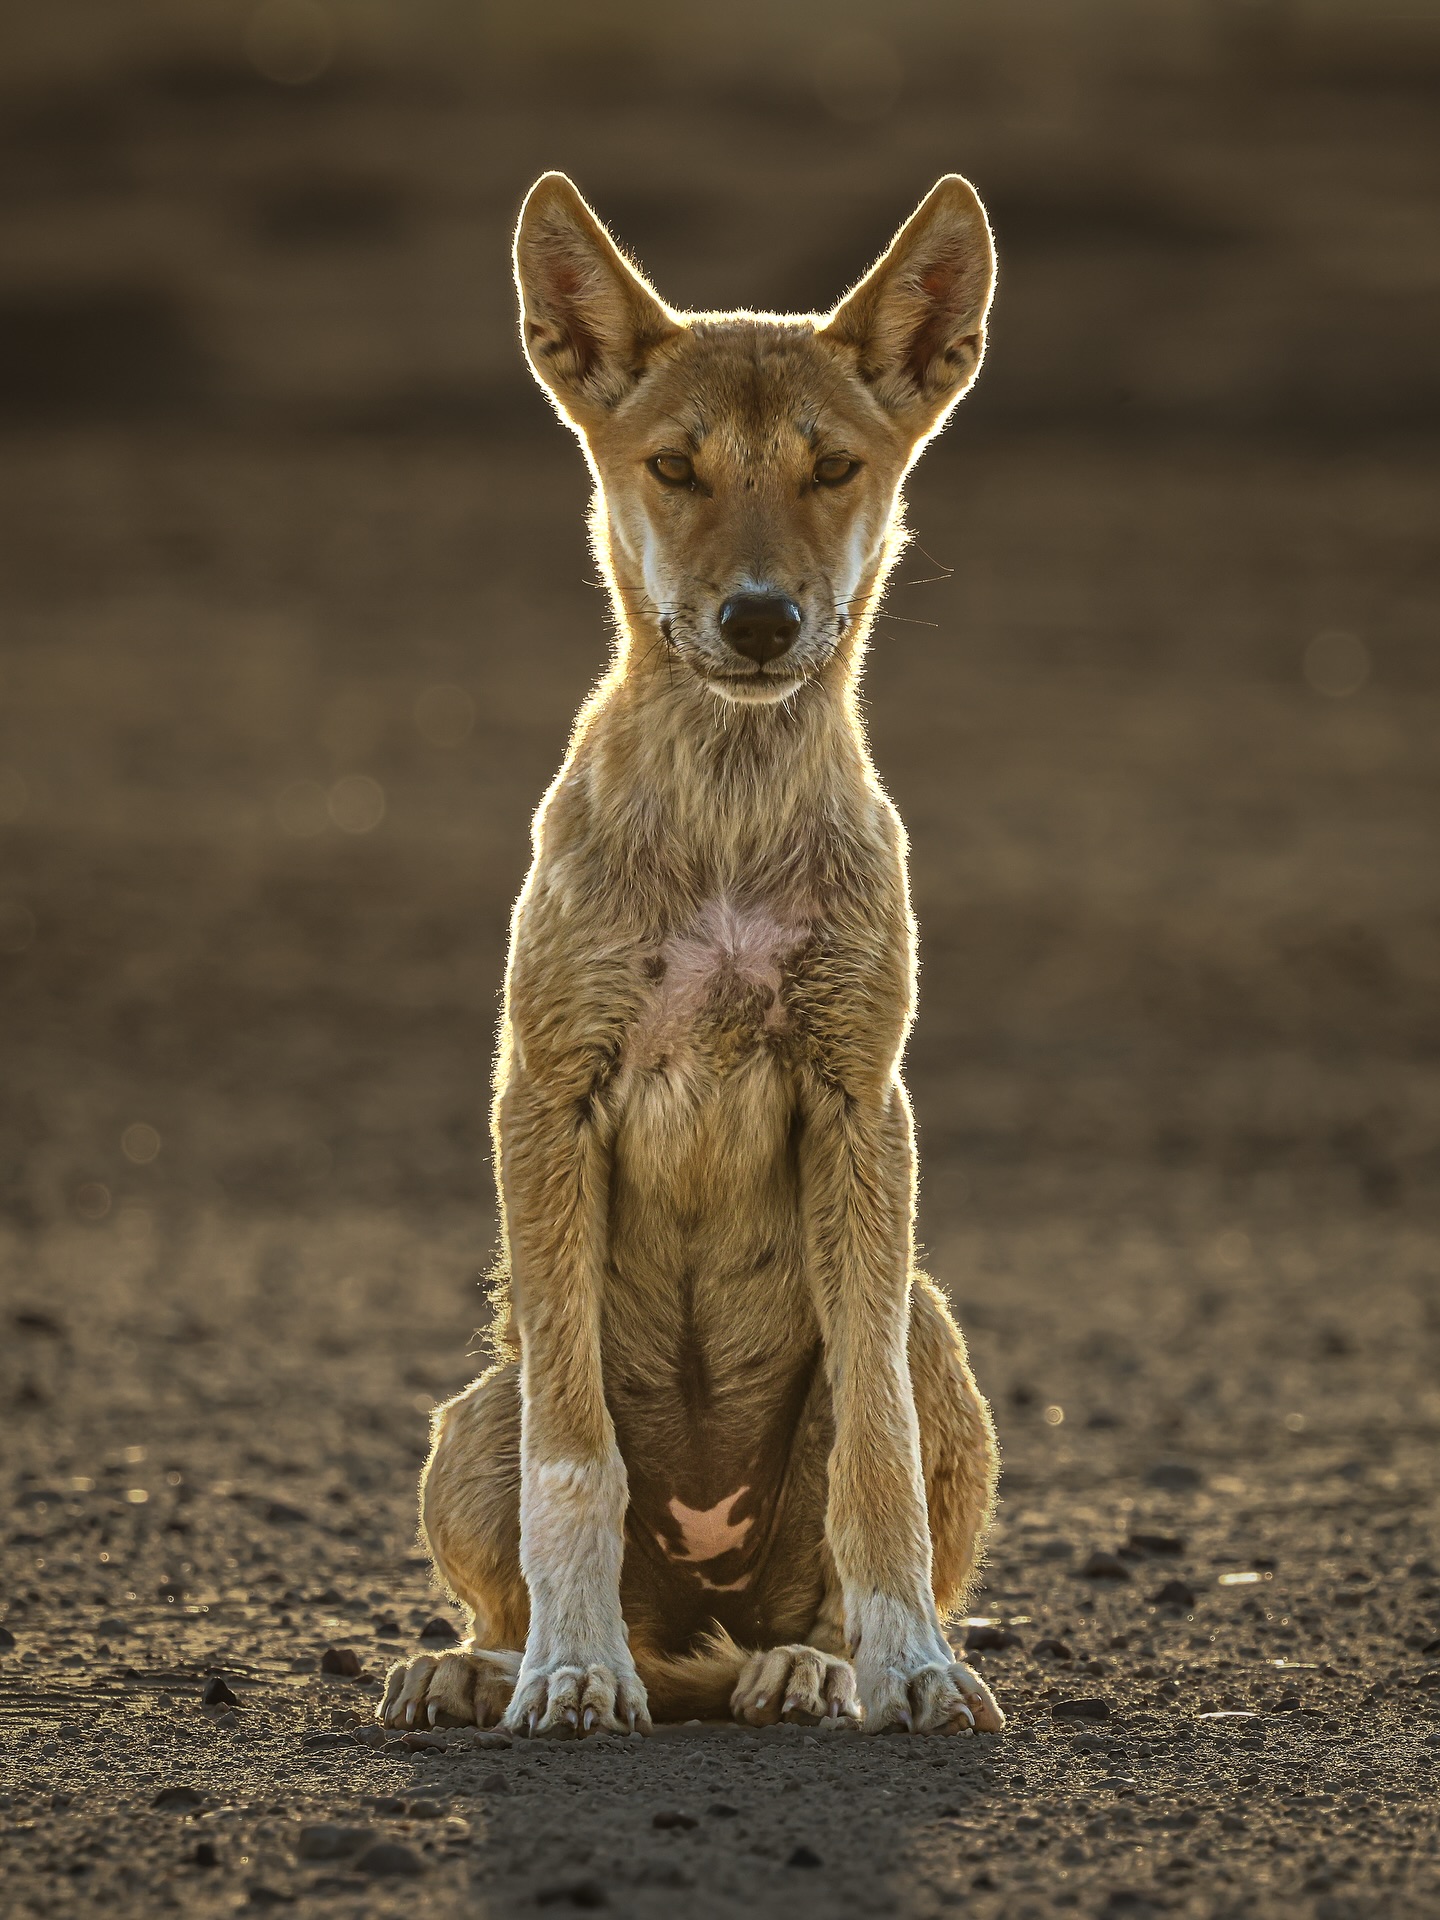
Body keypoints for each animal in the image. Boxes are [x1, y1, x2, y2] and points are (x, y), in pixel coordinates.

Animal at [380, 171, 1004, 1737]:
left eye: (835, 468)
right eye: (673, 466)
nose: (763, 618)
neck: (727, 820)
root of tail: (709, 1611)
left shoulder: (862, 1102)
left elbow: (877, 1473)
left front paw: (912, 1666)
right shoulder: (545, 1096)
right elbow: (577, 1464)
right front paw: (572, 1672)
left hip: (922, 1318)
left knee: (812, 1576)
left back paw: (811, 1668)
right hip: (474, 1409)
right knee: (554, 1569)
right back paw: (486, 1666)